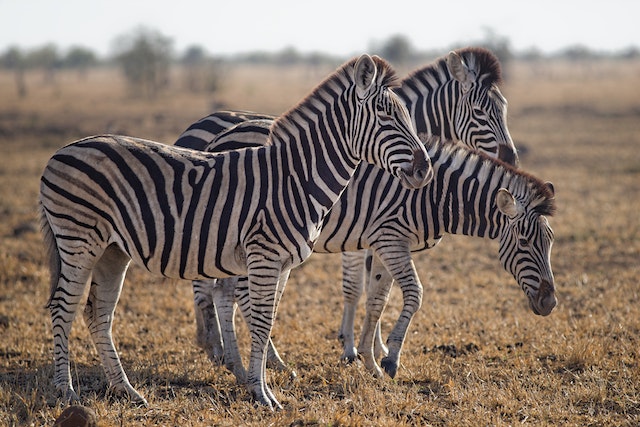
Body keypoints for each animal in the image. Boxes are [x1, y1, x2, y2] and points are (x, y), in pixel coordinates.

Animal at [37, 54, 432, 412]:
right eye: (385, 115)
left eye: (407, 116)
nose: (425, 170)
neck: (297, 178)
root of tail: (60, 152)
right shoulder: (264, 256)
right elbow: (259, 322)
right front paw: (261, 394)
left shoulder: (281, 263)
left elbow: (266, 322)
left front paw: (262, 385)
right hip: (79, 240)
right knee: (64, 307)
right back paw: (66, 392)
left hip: (112, 250)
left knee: (98, 313)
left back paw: (127, 391)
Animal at [178, 47, 524, 378]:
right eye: (480, 111)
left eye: (505, 108)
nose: (512, 160)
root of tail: (212, 134)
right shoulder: (363, 232)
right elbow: (356, 288)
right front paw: (353, 349)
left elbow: (377, 290)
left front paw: (375, 347)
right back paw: (227, 351)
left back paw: (219, 348)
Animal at [191, 119, 556, 382]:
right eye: (524, 243)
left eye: (550, 243)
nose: (550, 303)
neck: (434, 194)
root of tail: (222, 136)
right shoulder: (391, 238)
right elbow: (414, 294)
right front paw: (390, 358)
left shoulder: (384, 244)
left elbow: (377, 301)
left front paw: (369, 361)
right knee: (236, 295)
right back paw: (254, 363)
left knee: (225, 293)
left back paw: (249, 363)